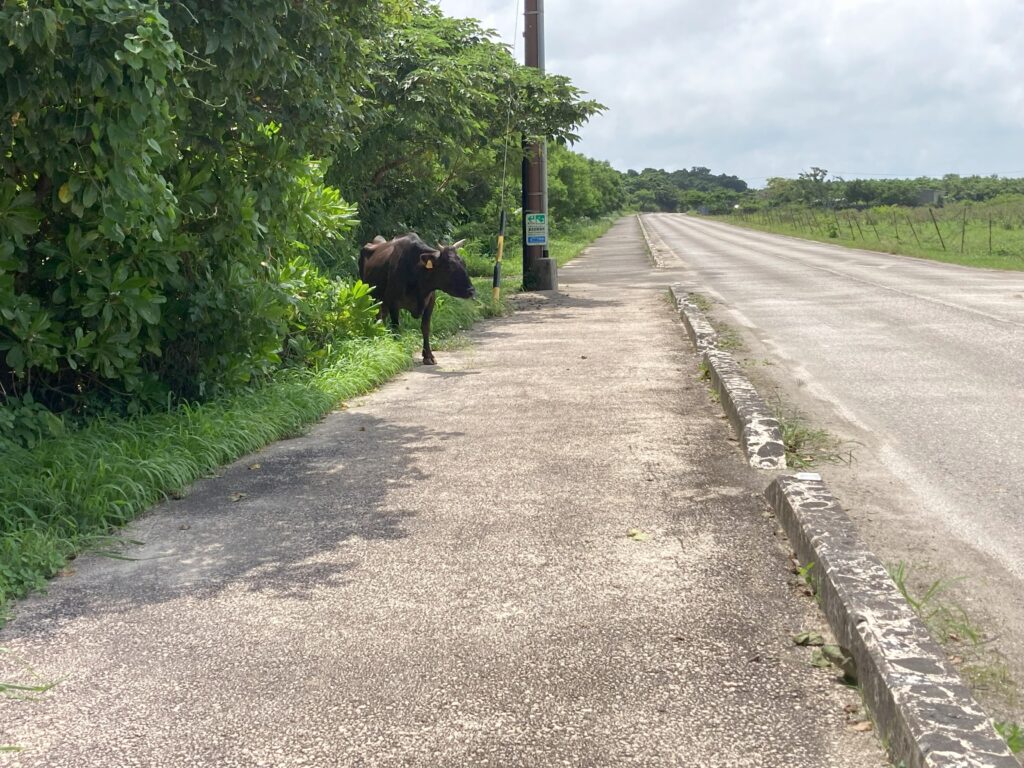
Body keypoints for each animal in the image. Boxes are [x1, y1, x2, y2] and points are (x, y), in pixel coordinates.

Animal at [358, 234, 473, 366]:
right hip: (371, 296)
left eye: (464, 263)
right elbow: (396, 327)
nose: (471, 290)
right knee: (378, 317)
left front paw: (428, 355)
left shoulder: (430, 301)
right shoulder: (393, 303)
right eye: (449, 266)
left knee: (382, 318)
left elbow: (425, 327)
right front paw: (400, 351)